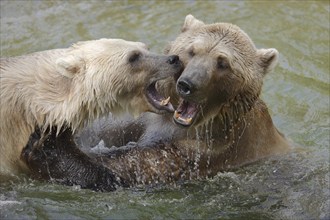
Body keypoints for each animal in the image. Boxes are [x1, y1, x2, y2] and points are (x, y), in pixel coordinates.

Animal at [21, 15, 290, 191]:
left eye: (223, 62)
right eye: (192, 51)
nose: (187, 84)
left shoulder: (208, 151)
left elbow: (138, 167)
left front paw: (50, 144)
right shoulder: (144, 119)